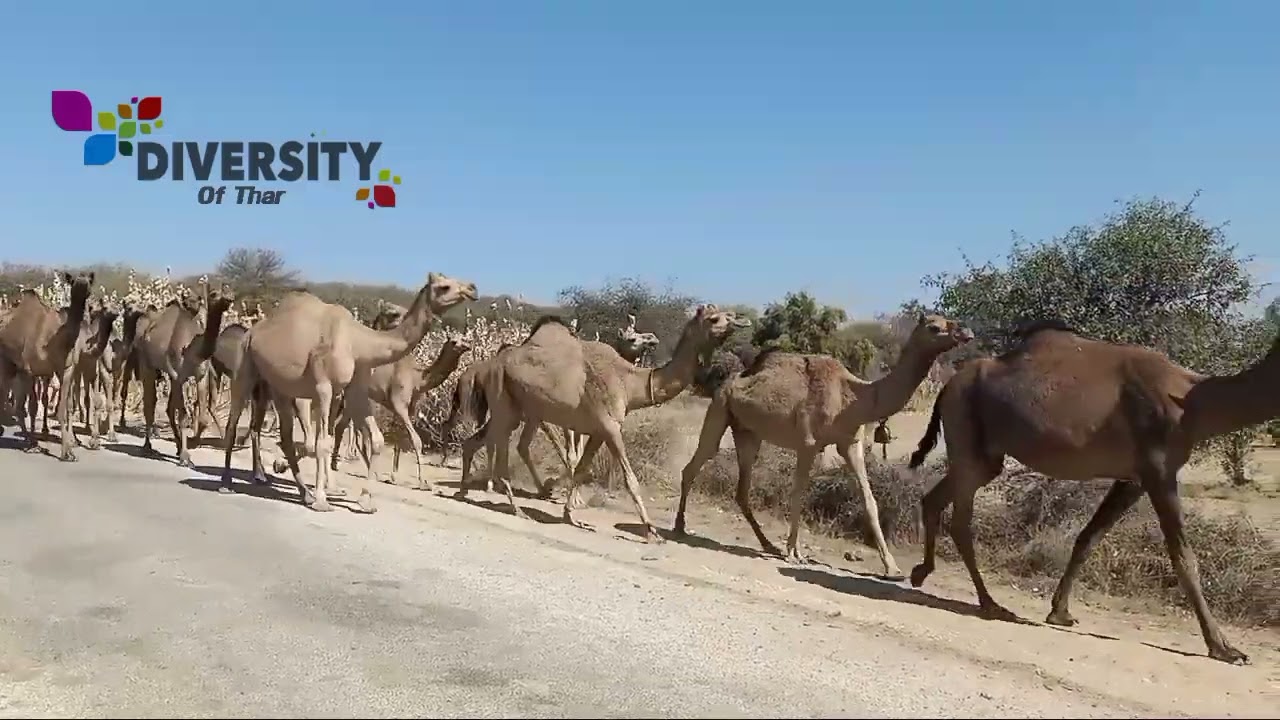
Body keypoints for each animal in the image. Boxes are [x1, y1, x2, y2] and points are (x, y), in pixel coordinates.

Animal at [0, 272, 96, 459]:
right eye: (73, 282)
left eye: (89, 281)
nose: (82, 286)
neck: (57, 342)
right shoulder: (30, 370)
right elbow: (32, 407)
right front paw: (34, 444)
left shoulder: (65, 370)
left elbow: (63, 409)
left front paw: (68, 452)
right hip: (7, 363)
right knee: (12, 402)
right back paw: (28, 440)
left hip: (16, 369)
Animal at [329, 338, 472, 490]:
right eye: (454, 342)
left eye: (464, 339)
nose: (467, 346)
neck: (417, 379)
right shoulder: (399, 404)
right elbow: (416, 440)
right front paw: (423, 482)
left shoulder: (407, 409)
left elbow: (399, 439)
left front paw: (394, 477)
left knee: (341, 426)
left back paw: (338, 464)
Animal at [464, 305, 750, 538]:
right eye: (714, 318)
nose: (742, 320)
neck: (629, 382)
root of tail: (489, 364)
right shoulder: (610, 427)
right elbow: (630, 480)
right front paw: (652, 531)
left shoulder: (598, 430)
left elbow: (581, 469)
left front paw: (570, 514)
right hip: (505, 403)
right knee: (500, 444)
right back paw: (514, 506)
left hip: (519, 410)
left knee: (484, 440)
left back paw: (473, 490)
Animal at [673, 314, 973, 575]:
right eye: (934, 327)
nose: (966, 332)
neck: (854, 397)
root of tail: (731, 381)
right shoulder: (808, 443)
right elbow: (798, 494)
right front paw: (794, 553)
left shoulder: (850, 444)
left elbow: (869, 500)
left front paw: (893, 569)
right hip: (719, 409)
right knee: (695, 464)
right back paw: (679, 527)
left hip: (748, 432)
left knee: (741, 489)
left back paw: (767, 544)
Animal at [906, 320, 1280, 665]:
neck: (1192, 404)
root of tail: (947, 385)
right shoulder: (1159, 471)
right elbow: (1184, 558)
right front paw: (1224, 648)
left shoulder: (1134, 479)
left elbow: (1089, 537)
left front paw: (1060, 611)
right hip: (966, 435)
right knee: (960, 522)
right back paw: (990, 604)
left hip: (985, 458)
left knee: (936, 498)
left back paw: (922, 573)